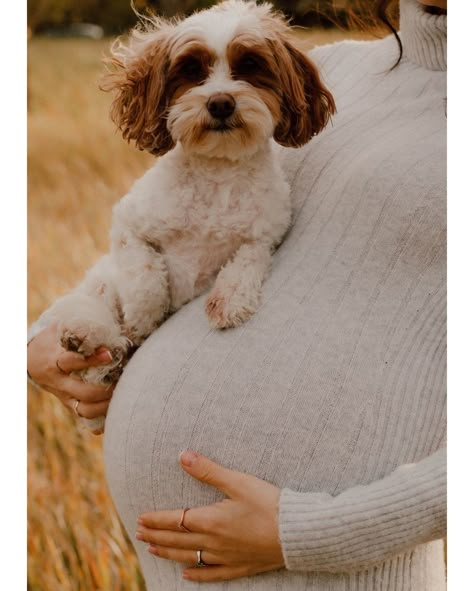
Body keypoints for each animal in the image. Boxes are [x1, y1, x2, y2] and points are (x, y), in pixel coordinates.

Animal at [30, 1, 334, 434]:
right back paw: (90, 337)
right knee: (95, 314)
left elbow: (249, 258)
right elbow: (144, 275)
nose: (221, 103)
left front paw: (230, 300)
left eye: (250, 65)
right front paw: (144, 314)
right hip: (100, 285)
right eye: (192, 70)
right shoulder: (128, 224)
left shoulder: (267, 232)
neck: (217, 171)